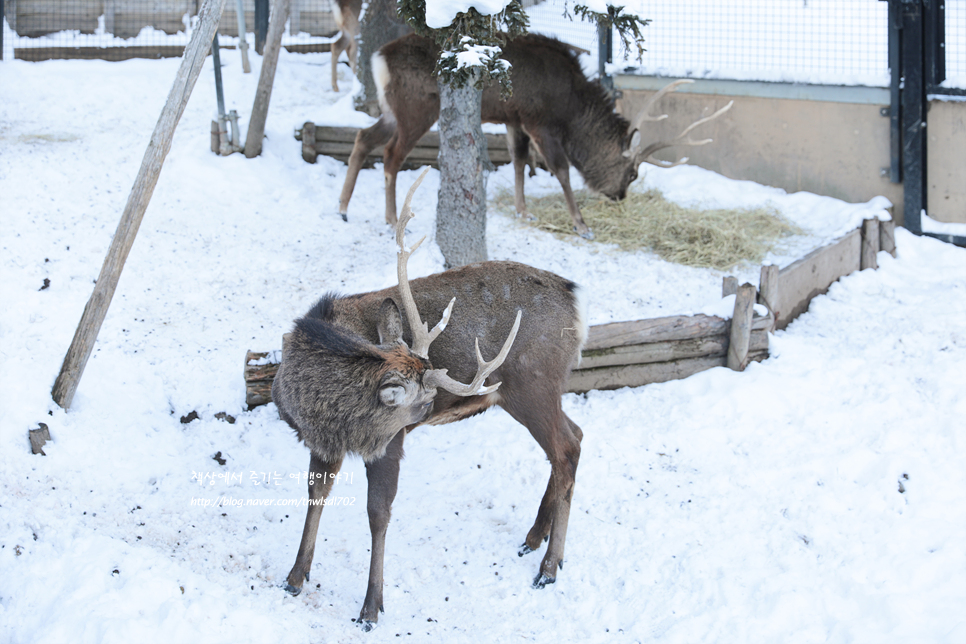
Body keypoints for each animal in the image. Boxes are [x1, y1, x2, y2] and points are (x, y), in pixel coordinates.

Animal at [272, 170, 588, 628]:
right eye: (423, 395)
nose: (433, 404)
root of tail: (577, 302)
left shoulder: (388, 442)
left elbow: (378, 513)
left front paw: (370, 607)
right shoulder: (322, 442)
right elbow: (316, 495)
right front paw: (295, 577)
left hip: (534, 385)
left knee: (564, 448)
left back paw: (548, 567)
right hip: (538, 392)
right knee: (574, 439)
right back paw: (533, 539)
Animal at [338, 33, 732, 239]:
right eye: (633, 173)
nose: (619, 196)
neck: (571, 106)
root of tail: (378, 58)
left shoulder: (514, 118)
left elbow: (518, 160)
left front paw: (523, 210)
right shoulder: (540, 120)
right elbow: (561, 169)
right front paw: (581, 225)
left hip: (393, 110)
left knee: (362, 138)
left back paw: (343, 208)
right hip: (417, 109)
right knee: (391, 155)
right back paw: (391, 219)